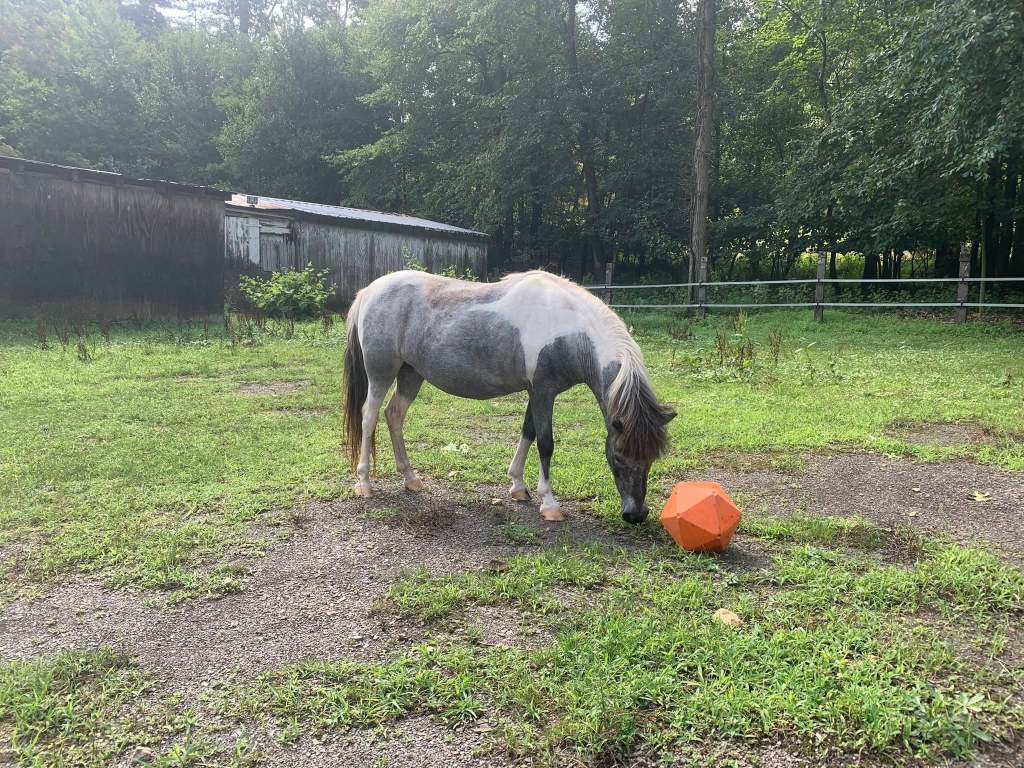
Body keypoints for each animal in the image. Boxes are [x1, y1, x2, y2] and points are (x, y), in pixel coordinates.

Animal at [343, 269, 676, 524]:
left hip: (411, 374)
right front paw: (549, 504)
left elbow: (528, 432)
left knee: (394, 415)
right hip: (381, 373)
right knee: (369, 416)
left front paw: (518, 486)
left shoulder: (535, 392)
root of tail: (369, 291)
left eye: (652, 457)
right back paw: (364, 483)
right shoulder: (544, 392)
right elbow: (545, 443)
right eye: (618, 455)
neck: (569, 328)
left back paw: (410, 479)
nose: (636, 515)